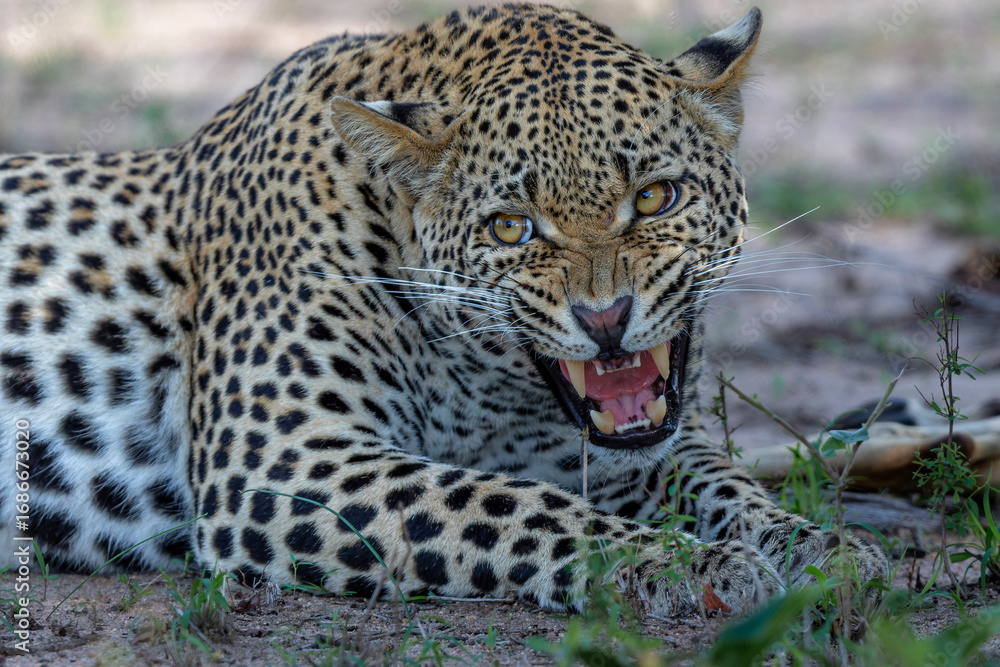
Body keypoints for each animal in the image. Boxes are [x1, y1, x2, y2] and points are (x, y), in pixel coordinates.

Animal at [0, 4, 887, 616]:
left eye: (655, 197)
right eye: (512, 226)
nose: (606, 318)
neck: (492, 396)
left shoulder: (613, 451)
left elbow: (726, 483)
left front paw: (823, 547)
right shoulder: (282, 461)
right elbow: (513, 505)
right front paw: (686, 565)